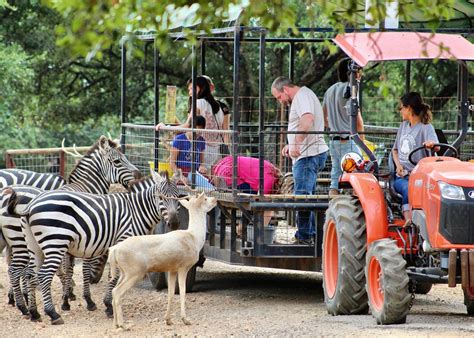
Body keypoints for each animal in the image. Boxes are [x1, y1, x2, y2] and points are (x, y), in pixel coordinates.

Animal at [4, 135, 141, 320]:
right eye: (117, 161)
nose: (139, 175)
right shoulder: (89, 236)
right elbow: (83, 268)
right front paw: (86, 300)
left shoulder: (71, 241)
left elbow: (68, 268)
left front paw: (67, 298)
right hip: (24, 242)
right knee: (16, 270)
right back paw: (26, 306)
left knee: (22, 270)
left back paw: (27, 307)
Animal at [20, 170, 181, 324]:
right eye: (161, 198)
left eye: (178, 197)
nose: (174, 224)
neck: (136, 211)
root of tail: (31, 205)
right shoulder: (123, 241)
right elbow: (115, 276)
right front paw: (109, 306)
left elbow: (112, 276)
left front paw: (108, 304)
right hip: (55, 243)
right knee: (44, 275)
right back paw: (52, 314)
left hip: (34, 247)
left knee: (31, 275)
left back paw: (34, 313)